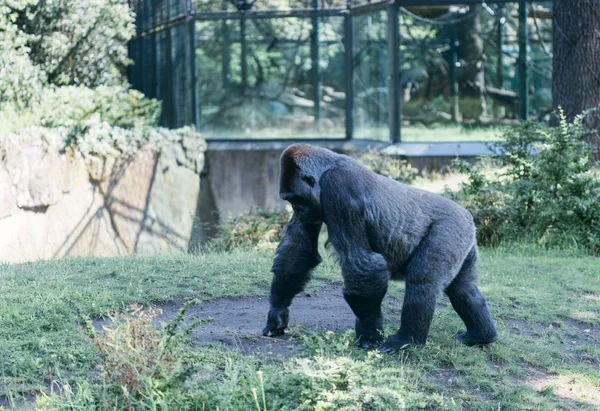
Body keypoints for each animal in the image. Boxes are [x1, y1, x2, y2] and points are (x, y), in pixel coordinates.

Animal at [262, 145, 496, 354]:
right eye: (289, 200)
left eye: (296, 199)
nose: (298, 210)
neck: (326, 167)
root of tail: (468, 216)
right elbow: (298, 250)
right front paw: (277, 311)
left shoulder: (338, 187)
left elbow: (361, 262)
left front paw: (369, 331)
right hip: (463, 239)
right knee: (462, 287)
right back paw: (480, 335)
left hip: (451, 227)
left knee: (422, 281)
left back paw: (407, 340)